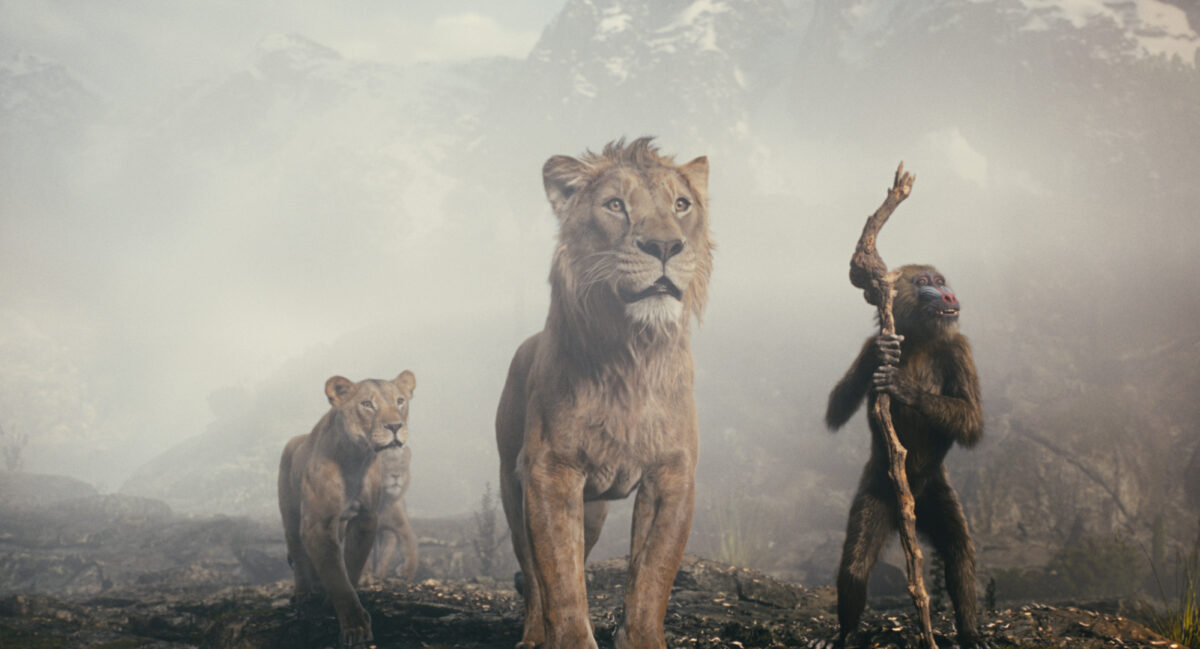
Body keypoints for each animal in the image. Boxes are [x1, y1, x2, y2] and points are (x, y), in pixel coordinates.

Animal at [369, 444, 419, 580]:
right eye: (385, 463)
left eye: (402, 464)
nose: (396, 475)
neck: (383, 501)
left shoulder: (397, 527)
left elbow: (410, 545)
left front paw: (407, 571)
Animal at [496, 137, 713, 649]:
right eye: (615, 205)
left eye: (682, 204)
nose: (664, 245)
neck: (632, 353)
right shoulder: (550, 472)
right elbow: (561, 580)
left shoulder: (672, 474)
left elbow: (652, 576)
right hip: (513, 486)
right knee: (533, 574)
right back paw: (533, 635)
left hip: (592, 510)